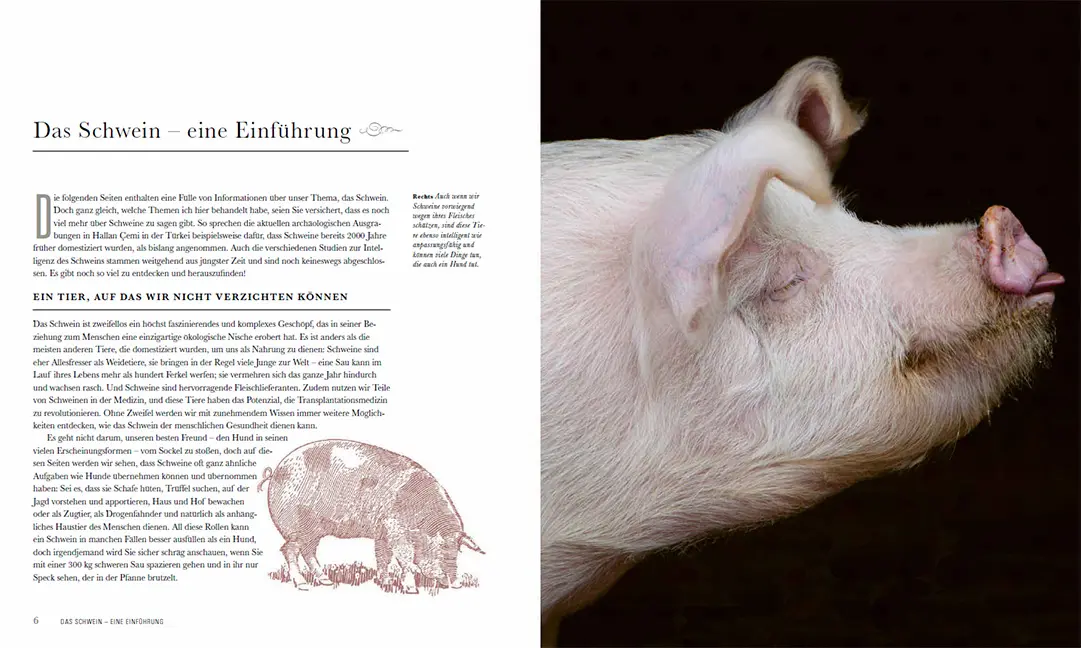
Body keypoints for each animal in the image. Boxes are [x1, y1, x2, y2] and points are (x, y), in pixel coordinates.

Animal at [257, 438, 484, 593]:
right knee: (289, 550)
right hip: (296, 525)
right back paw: (303, 584)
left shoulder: (383, 533)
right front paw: (411, 589)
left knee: (308, 551)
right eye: (441, 549)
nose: (456, 584)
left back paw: (326, 581)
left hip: (314, 530)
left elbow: (383, 556)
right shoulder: (397, 531)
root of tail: (275, 472)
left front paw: (386, 582)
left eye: (457, 552)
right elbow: (405, 560)